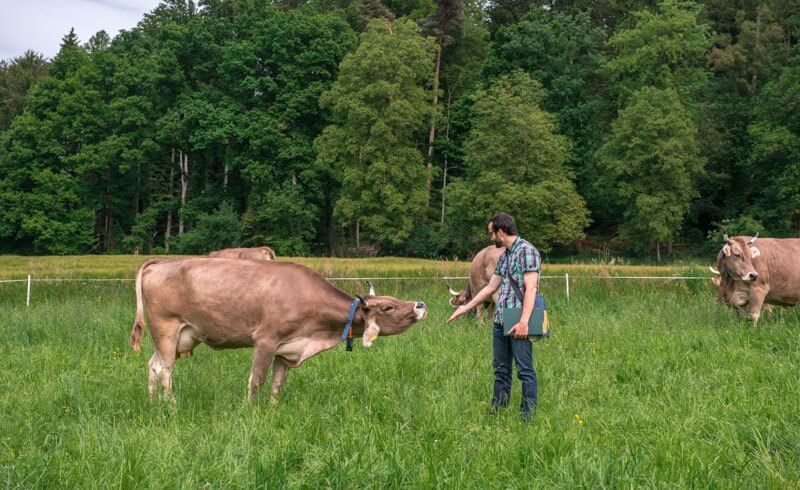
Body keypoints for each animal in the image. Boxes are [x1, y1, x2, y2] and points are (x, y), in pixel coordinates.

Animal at [130, 256, 424, 402]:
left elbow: (277, 383)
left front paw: (273, 409)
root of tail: (161, 261)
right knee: (165, 370)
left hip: (181, 337)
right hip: (166, 330)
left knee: (153, 366)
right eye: (388, 307)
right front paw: (251, 410)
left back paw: (153, 403)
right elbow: (256, 380)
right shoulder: (266, 340)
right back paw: (170, 405)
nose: (420, 304)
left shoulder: (288, 348)